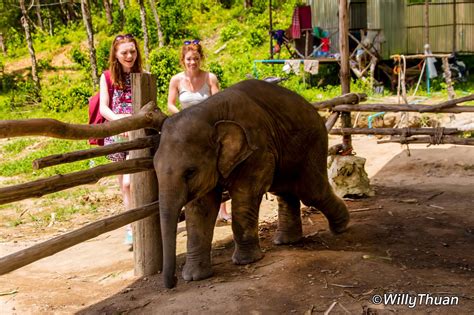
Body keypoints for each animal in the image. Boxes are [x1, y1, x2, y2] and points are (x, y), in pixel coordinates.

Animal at [155, 79, 348, 288]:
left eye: (190, 172)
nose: (172, 282)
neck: (208, 113)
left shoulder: (257, 147)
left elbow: (245, 194)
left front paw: (246, 261)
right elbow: (200, 208)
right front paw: (194, 277)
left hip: (312, 142)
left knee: (311, 192)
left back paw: (341, 227)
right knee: (286, 190)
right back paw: (287, 241)